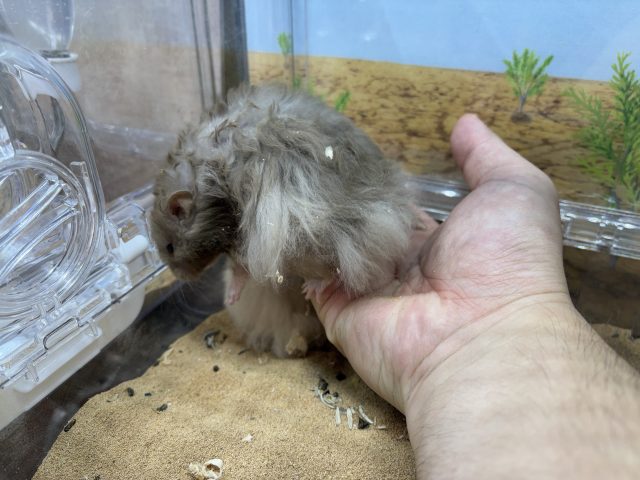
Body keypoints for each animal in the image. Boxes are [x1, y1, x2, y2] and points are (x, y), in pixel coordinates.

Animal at [150, 83, 413, 357]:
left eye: (169, 248)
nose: (179, 277)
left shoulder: (235, 230)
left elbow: (239, 269)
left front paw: (231, 297)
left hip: (305, 232)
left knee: (336, 264)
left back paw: (313, 287)